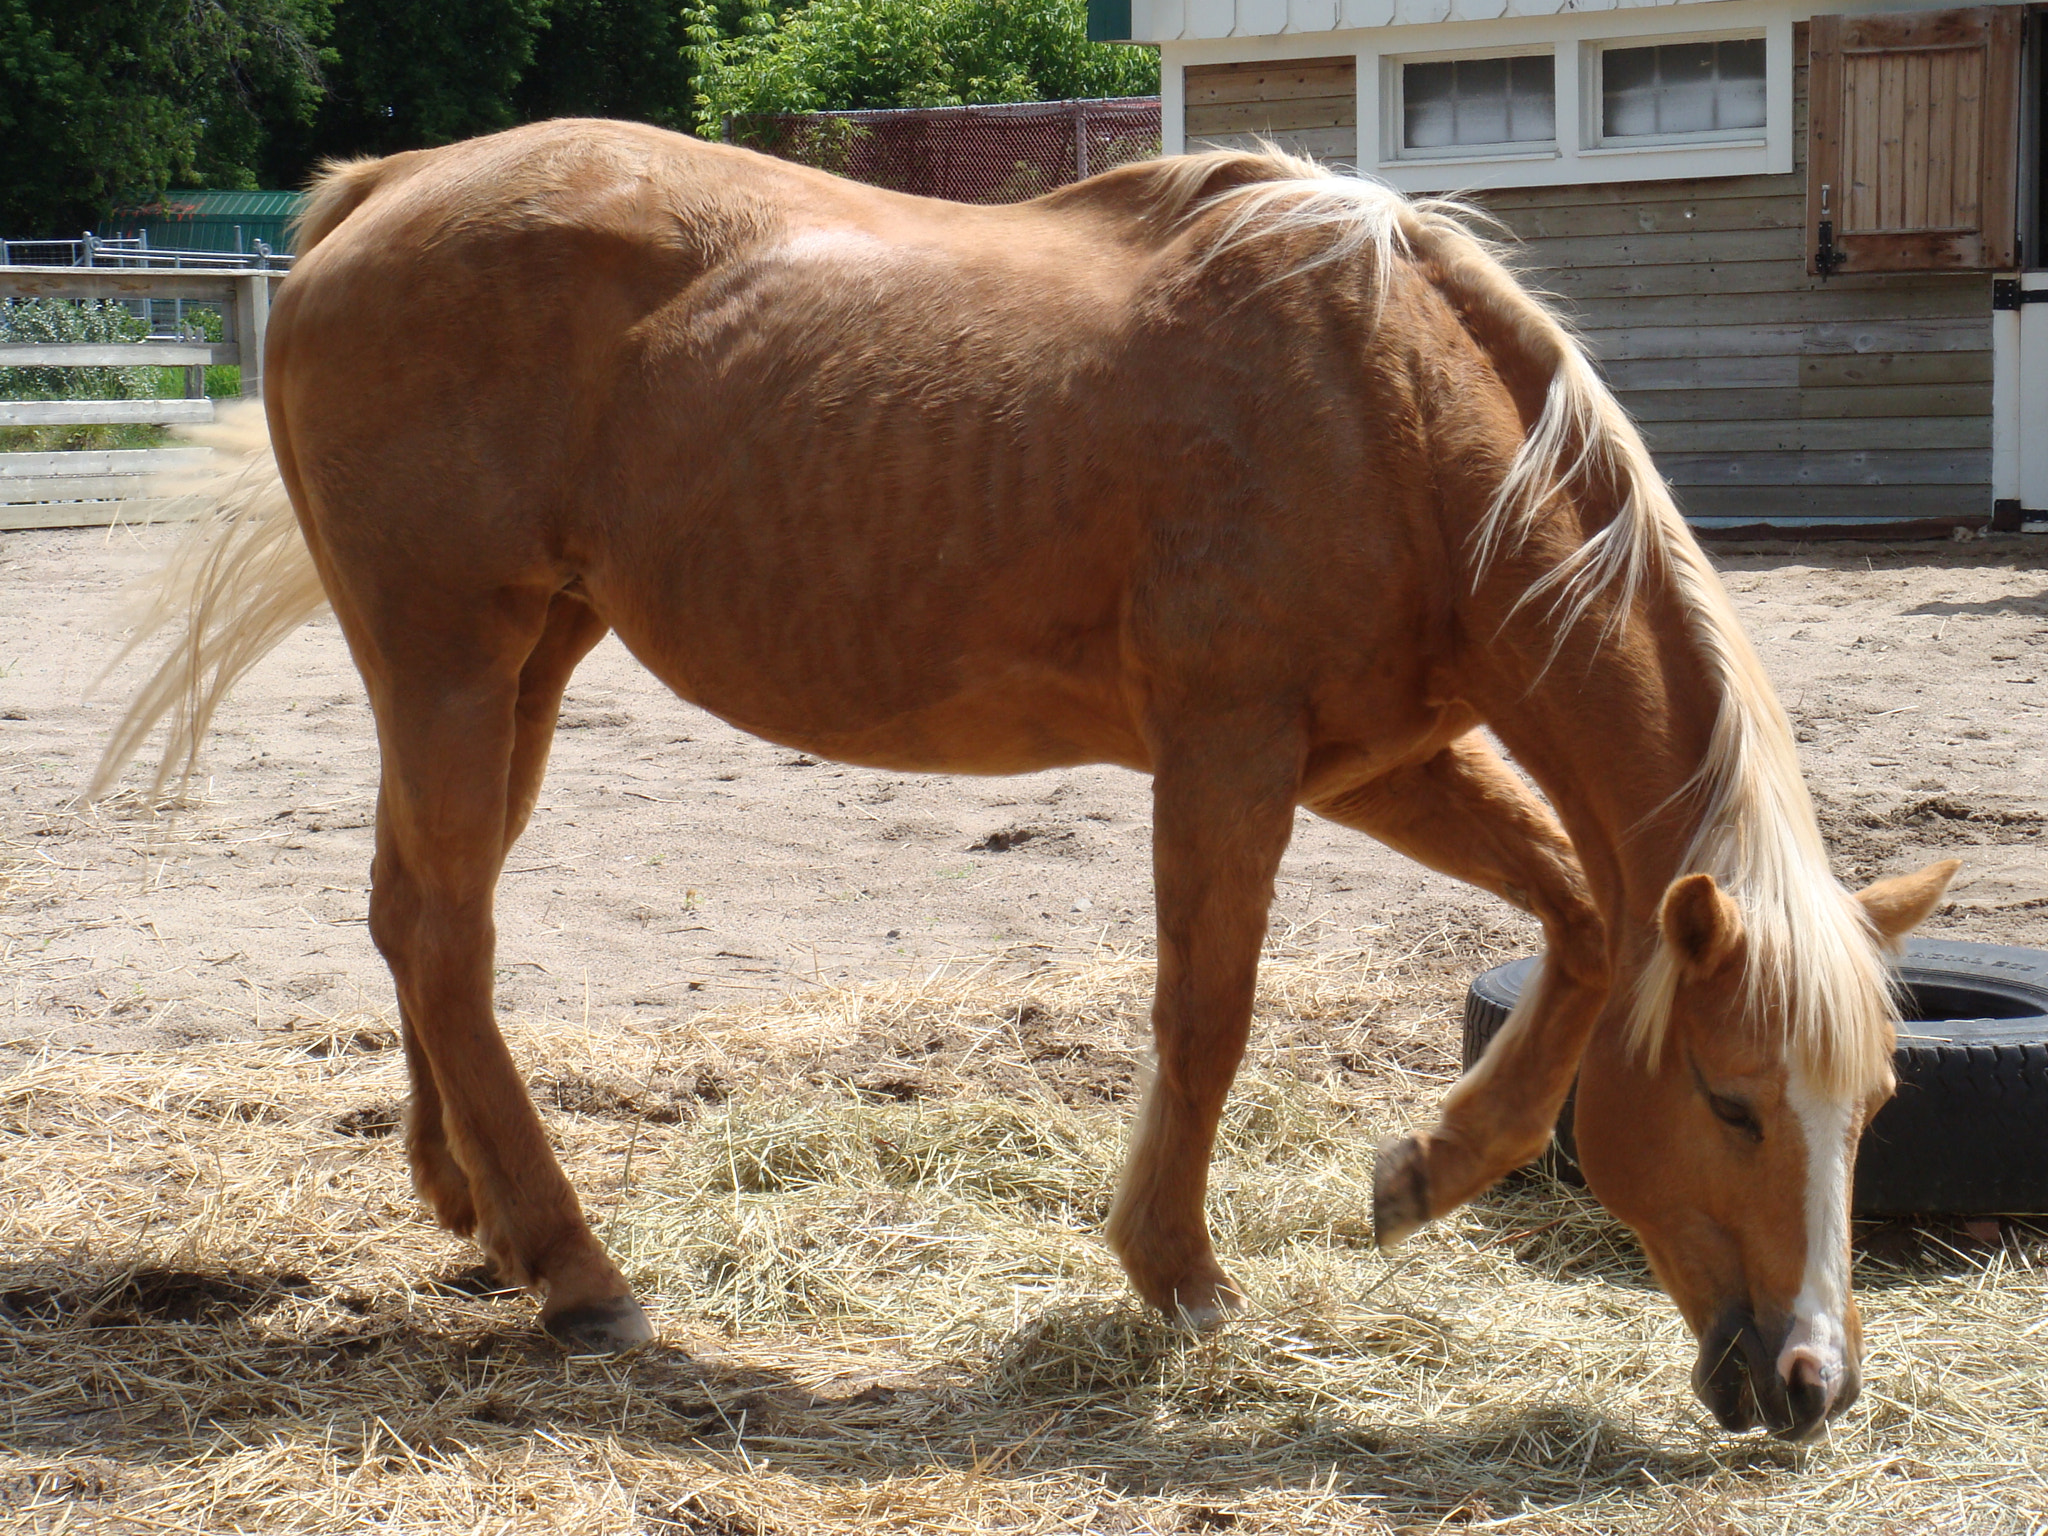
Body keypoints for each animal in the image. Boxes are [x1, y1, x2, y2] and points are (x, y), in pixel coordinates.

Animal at [96, 120, 1949, 1441]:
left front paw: (1423, 1169)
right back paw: (573, 1270)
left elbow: (1575, 918)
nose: (1812, 1386)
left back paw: (471, 1210)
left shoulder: (1380, 758)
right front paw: (1177, 1274)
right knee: (445, 935)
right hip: (452, 659)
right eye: (1728, 1099)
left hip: (525, 668)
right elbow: (1205, 1012)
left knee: (424, 914)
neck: (1390, 413)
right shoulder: (1229, 751)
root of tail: (376, 193)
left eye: (1870, 1107)